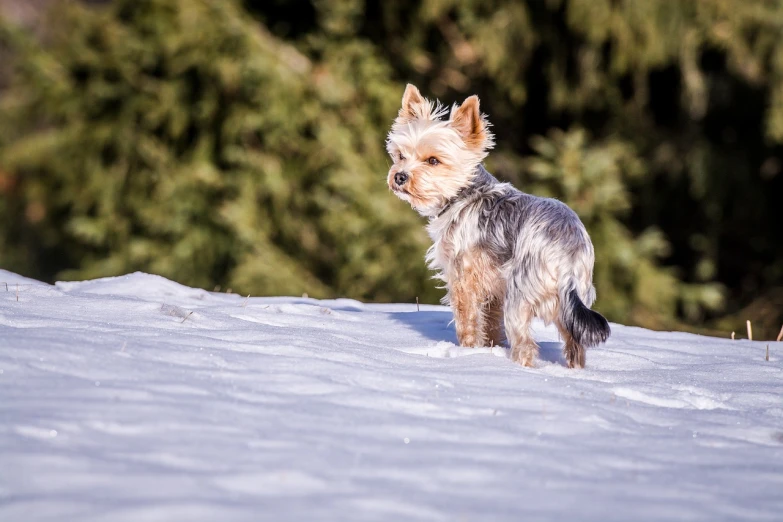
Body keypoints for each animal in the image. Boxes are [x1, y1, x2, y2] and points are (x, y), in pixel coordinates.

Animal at [388, 83, 612, 366]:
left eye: (433, 161)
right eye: (400, 155)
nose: (399, 176)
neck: (463, 193)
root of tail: (567, 259)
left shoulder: (463, 277)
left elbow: (467, 321)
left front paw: (468, 351)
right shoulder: (493, 287)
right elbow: (491, 323)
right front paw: (490, 348)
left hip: (519, 297)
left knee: (525, 344)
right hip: (572, 304)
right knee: (575, 346)